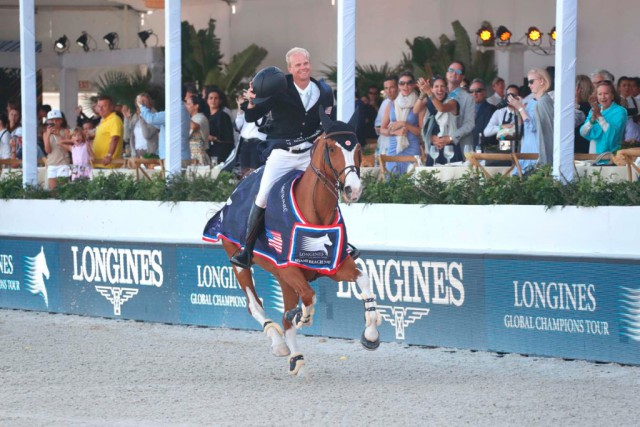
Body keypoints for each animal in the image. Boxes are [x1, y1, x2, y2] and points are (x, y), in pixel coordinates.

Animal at [202, 112, 380, 376]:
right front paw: (303, 316)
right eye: (331, 148)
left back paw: (296, 357)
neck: (315, 211)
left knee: (284, 318)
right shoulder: (288, 268)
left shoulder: (335, 266)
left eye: (357, 148)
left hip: (282, 278)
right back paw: (279, 344)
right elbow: (308, 296)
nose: (353, 189)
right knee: (254, 304)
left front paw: (370, 333)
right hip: (238, 260)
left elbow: (364, 280)